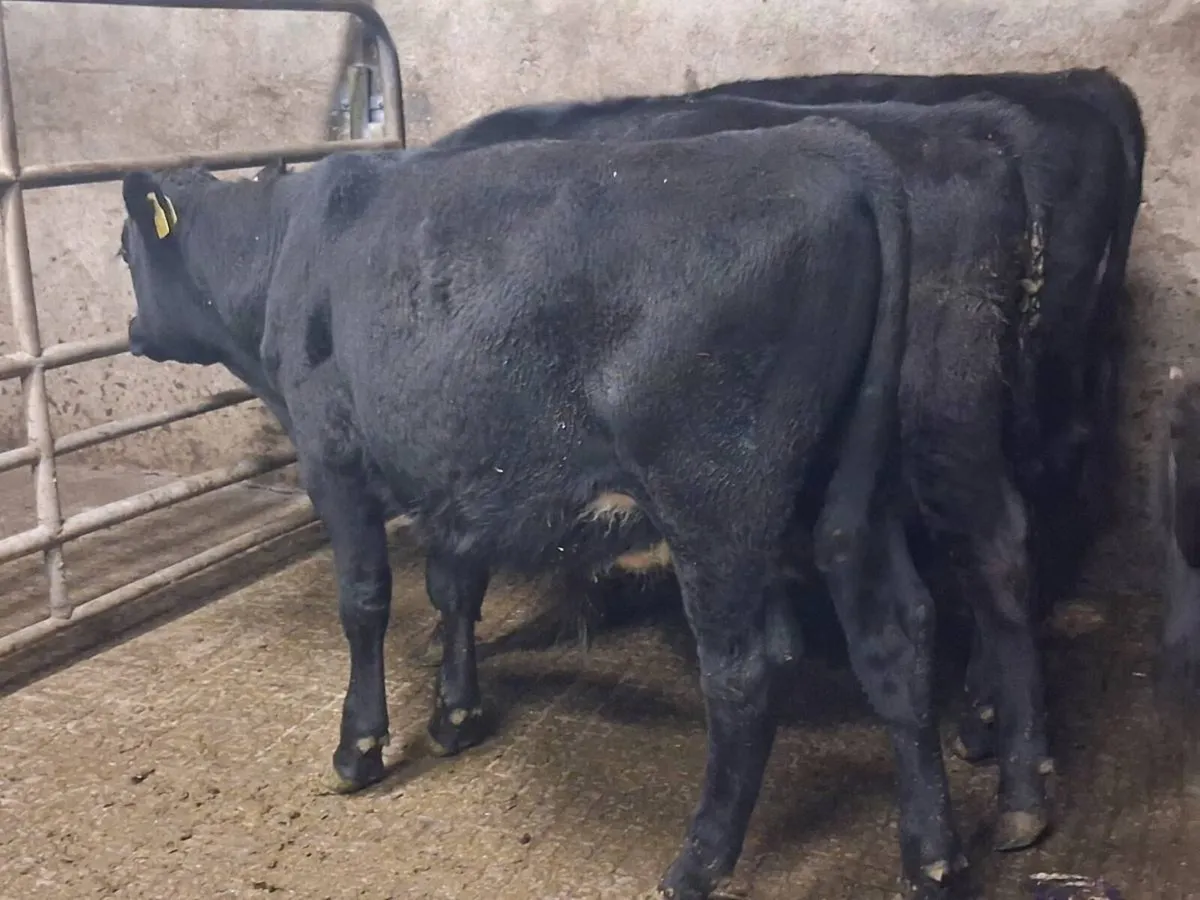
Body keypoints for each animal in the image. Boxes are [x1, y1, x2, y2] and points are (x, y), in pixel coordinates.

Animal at [116, 120, 947, 898]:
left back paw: (700, 860)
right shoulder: (450, 474)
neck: (283, 248)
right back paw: (933, 856)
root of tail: (823, 142)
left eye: (126, 254)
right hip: (855, 493)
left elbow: (364, 604)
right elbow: (454, 592)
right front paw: (454, 716)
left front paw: (360, 749)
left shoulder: (333, 459)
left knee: (744, 673)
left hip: (715, 506)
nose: (130, 331)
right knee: (898, 638)